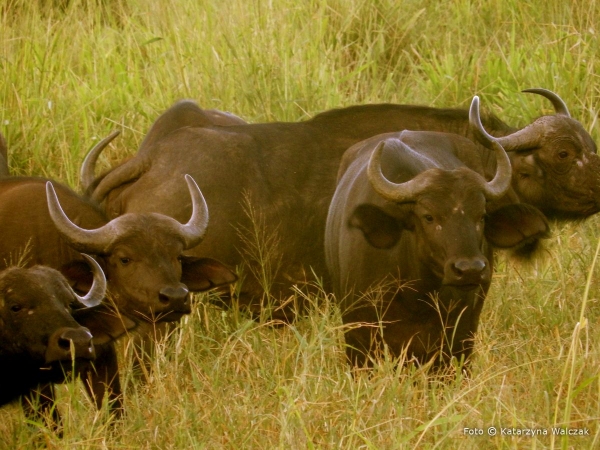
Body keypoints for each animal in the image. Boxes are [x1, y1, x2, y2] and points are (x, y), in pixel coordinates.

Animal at [326, 96, 552, 368]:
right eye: (428, 216)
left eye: (481, 215)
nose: (470, 270)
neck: (414, 295)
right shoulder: (360, 340)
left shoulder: (457, 342)